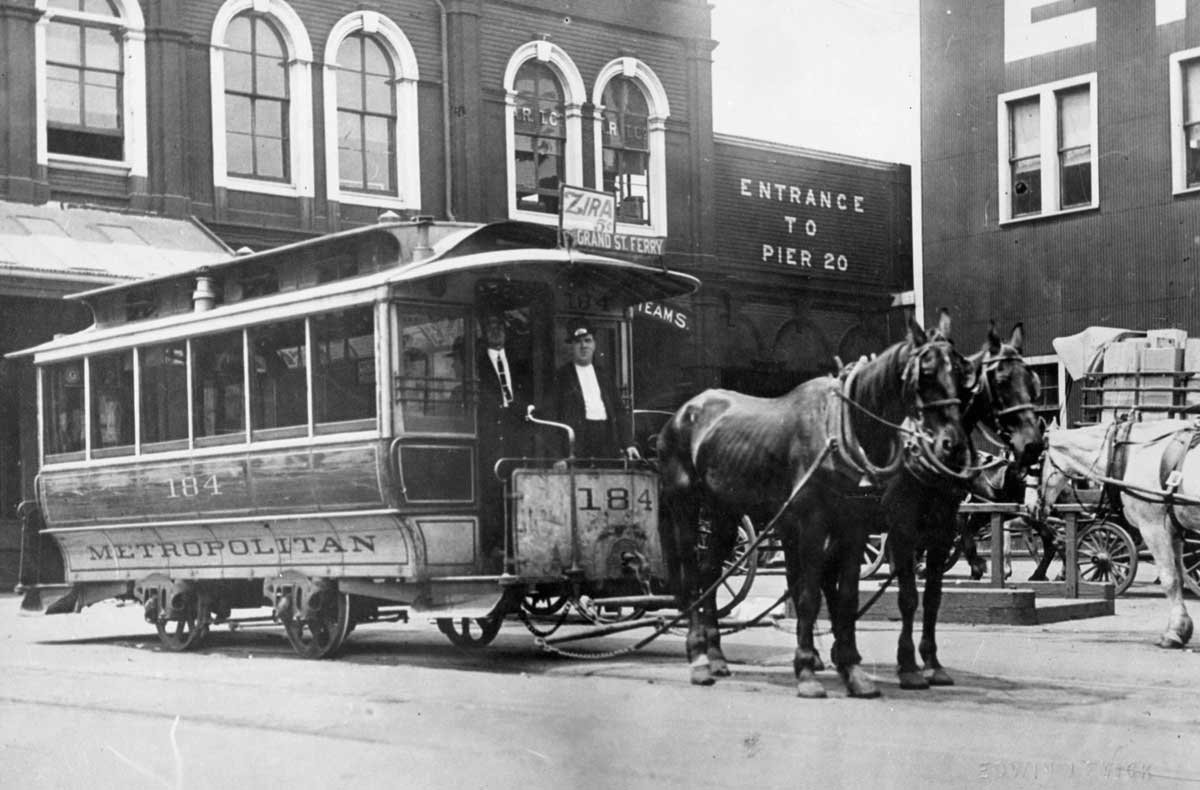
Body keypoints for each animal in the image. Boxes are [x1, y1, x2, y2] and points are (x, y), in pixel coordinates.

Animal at [652, 314, 969, 696]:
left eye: (963, 374)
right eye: (926, 373)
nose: (952, 444)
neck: (839, 428)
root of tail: (682, 414)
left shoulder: (855, 525)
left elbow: (846, 596)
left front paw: (852, 670)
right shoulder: (815, 524)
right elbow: (808, 596)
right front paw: (806, 670)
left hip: (724, 511)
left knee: (711, 572)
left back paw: (715, 656)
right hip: (684, 505)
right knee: (691, 577)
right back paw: (698, 657)